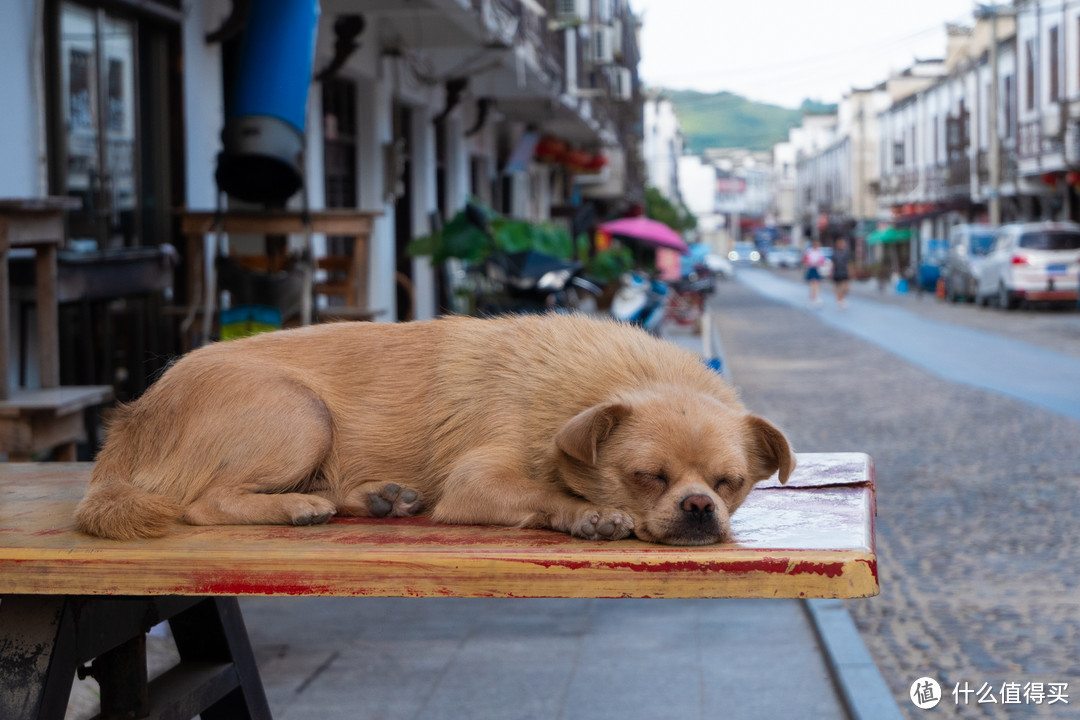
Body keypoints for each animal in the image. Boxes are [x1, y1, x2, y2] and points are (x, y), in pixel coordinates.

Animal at [76, 315, 794, 546]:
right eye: (646, 478)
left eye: (729, 485)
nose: (698, 508)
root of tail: (134, 417)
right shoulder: (477, 484)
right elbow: (545, 496)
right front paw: (588, 515)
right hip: (302, 414)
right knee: (202, 503)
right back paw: (296, 507)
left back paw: (379, 498)